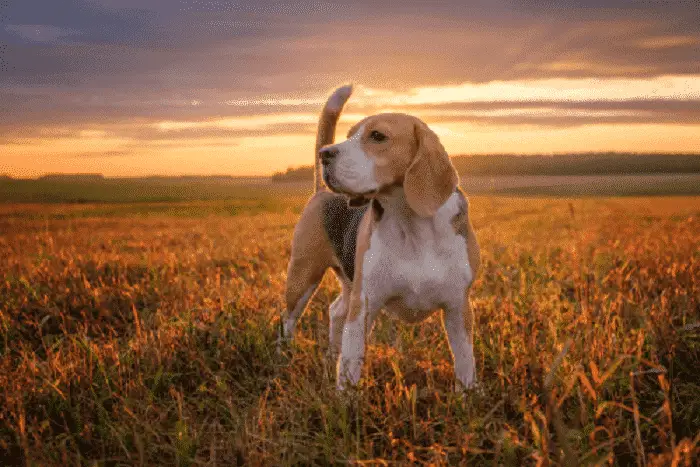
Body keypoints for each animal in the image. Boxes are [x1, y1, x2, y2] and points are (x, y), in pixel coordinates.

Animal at [282, 83, 478, 392]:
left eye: (377, 136)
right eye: (349, 136)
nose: (325, 154)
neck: (411, 225)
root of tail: (321, 192)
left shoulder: (459, 307)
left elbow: (465, 362)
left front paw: (468, 397)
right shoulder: (364, 305)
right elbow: (351, 365)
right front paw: (345, 402)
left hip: (347, 283)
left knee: (336, 311)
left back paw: (329, 358)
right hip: (302, 276)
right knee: (289, 322)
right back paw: (283, 358)